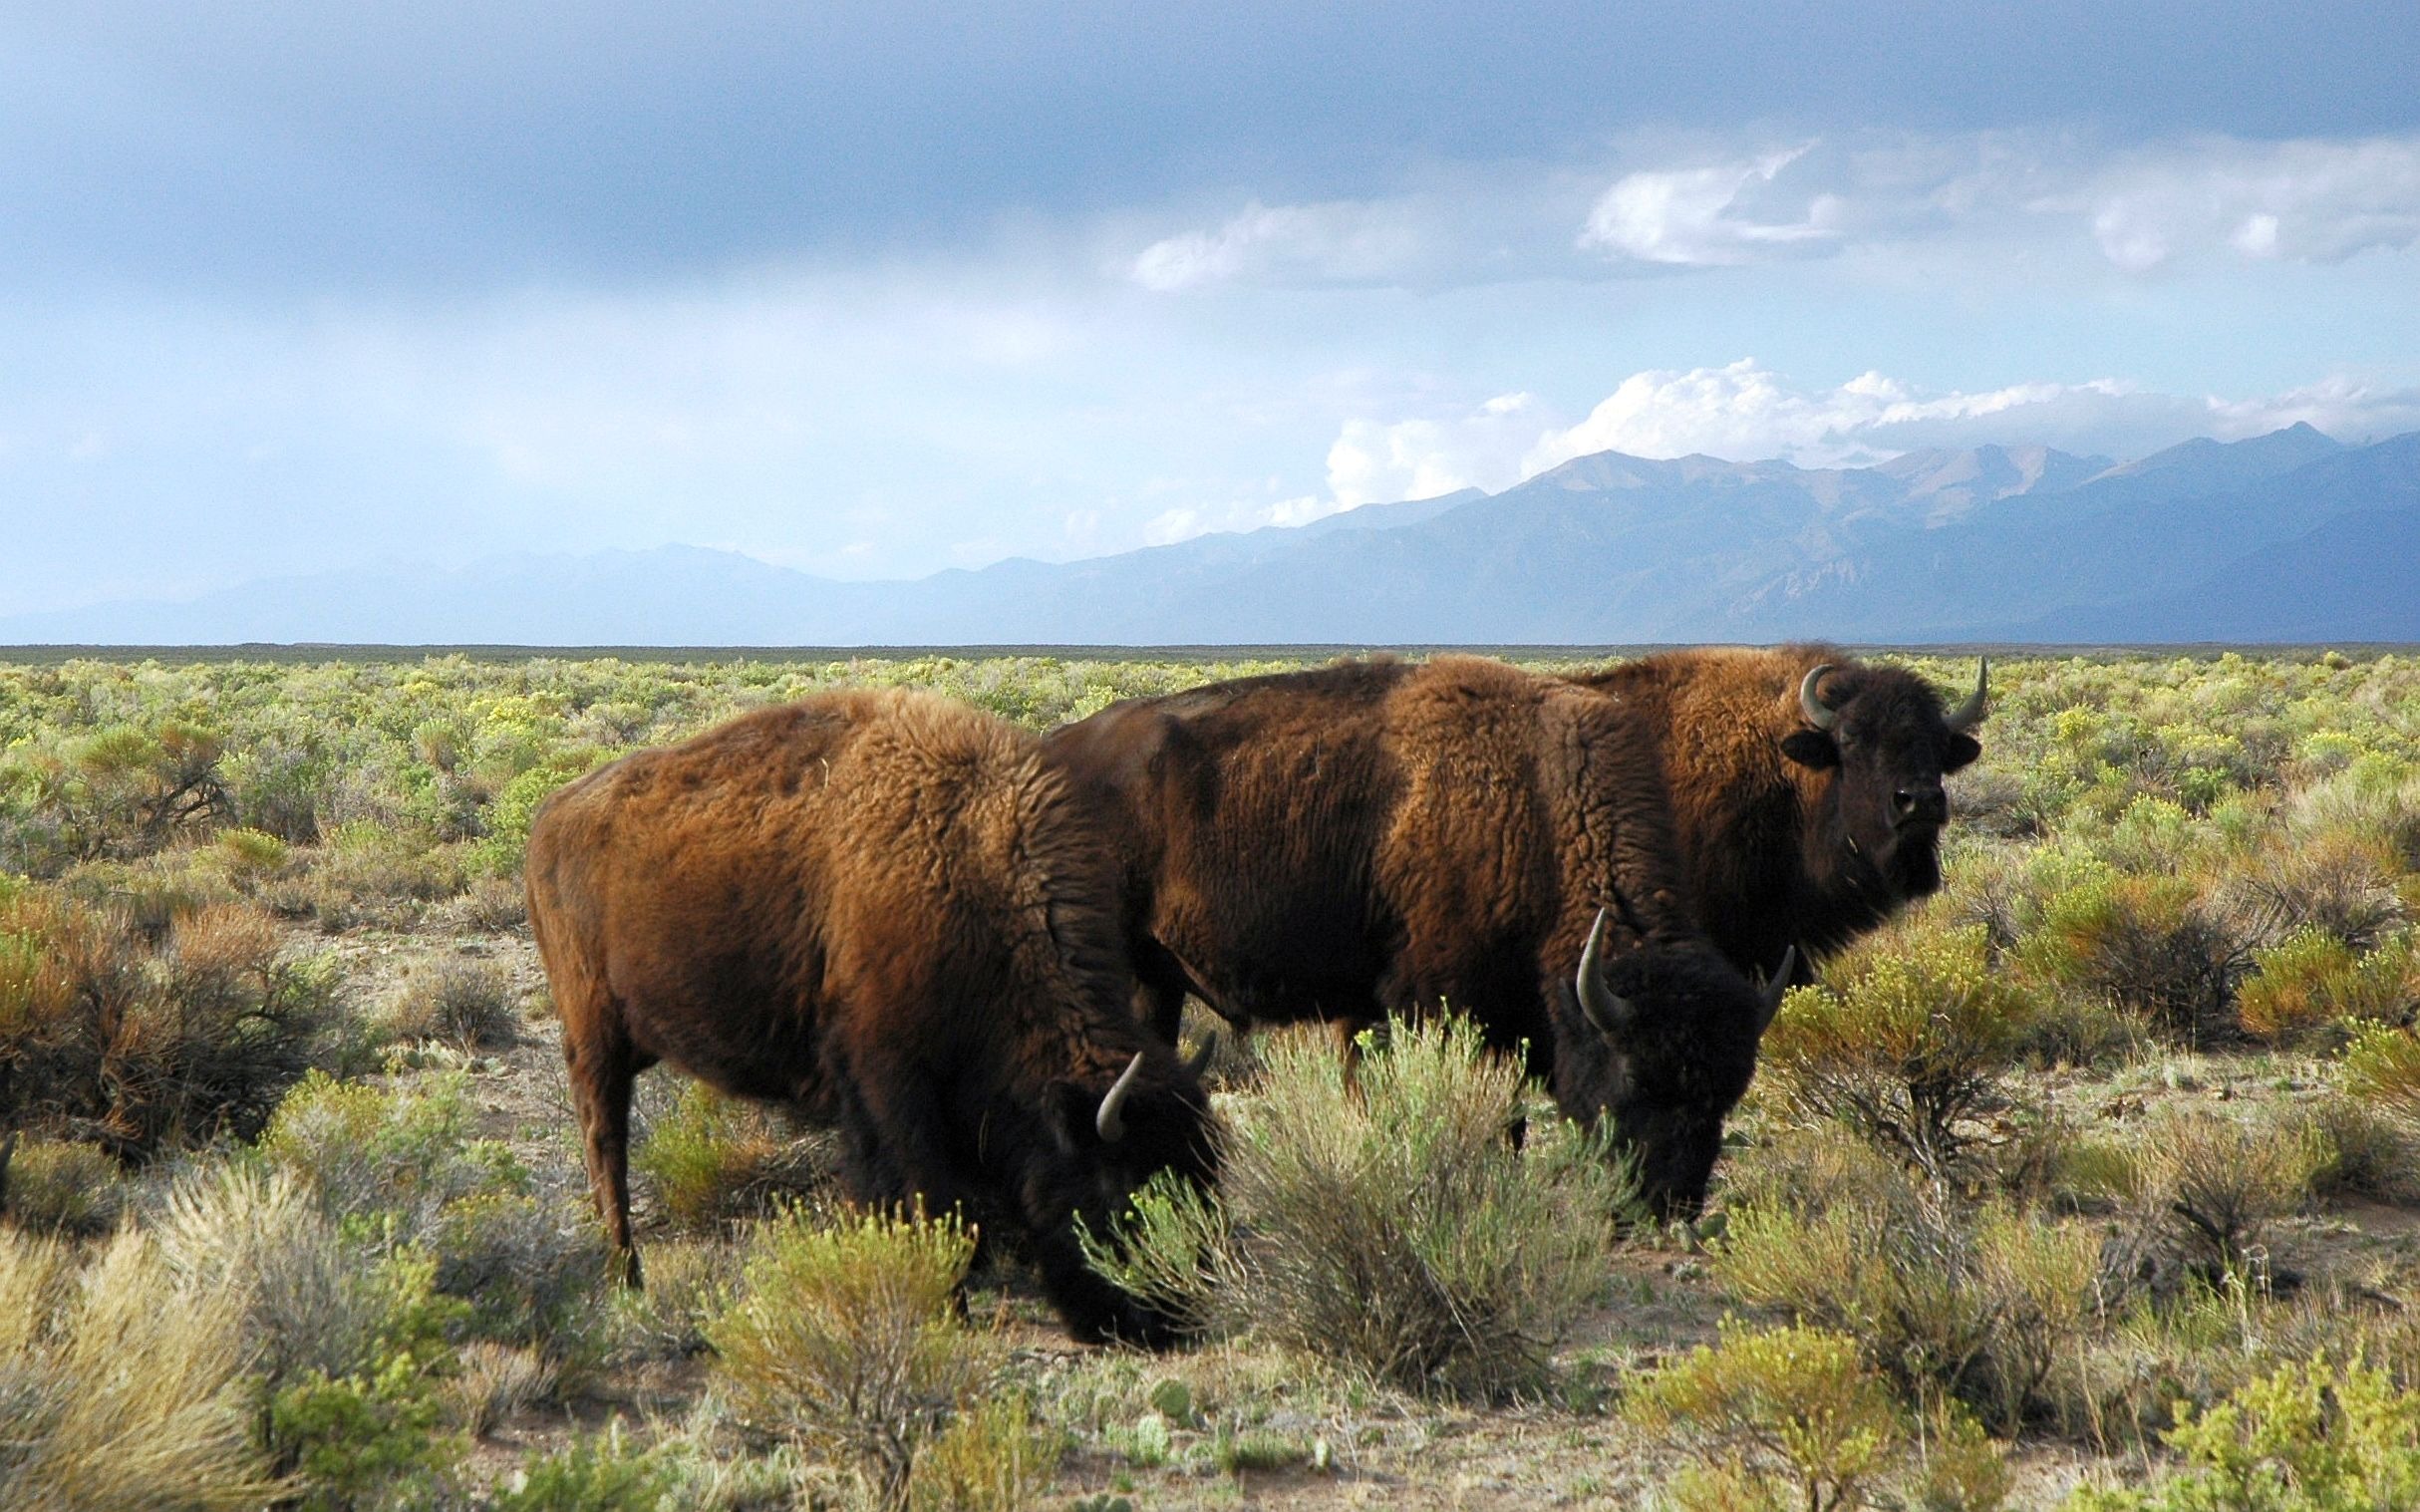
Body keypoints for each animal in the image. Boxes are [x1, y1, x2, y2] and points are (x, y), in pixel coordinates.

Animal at [522, 687, 1219, 1345]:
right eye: (1125, 1193)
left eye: (1206, 1177)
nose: (1170, 1324)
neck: (969, 863)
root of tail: (550, 815)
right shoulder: (890, 1084)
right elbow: (922, 1193)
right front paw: (946, 1303)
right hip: (594, 1040)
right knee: (606, 1147)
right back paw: (626, 1276)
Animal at [1041, 653, 1781, 1214]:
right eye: (1635, 1076)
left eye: (1727, 1092)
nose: (1667, 1203)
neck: (1535, 804)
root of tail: (1056, 751)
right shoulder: (1444, 1004)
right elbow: (1490, 1112)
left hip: (1154, 978)